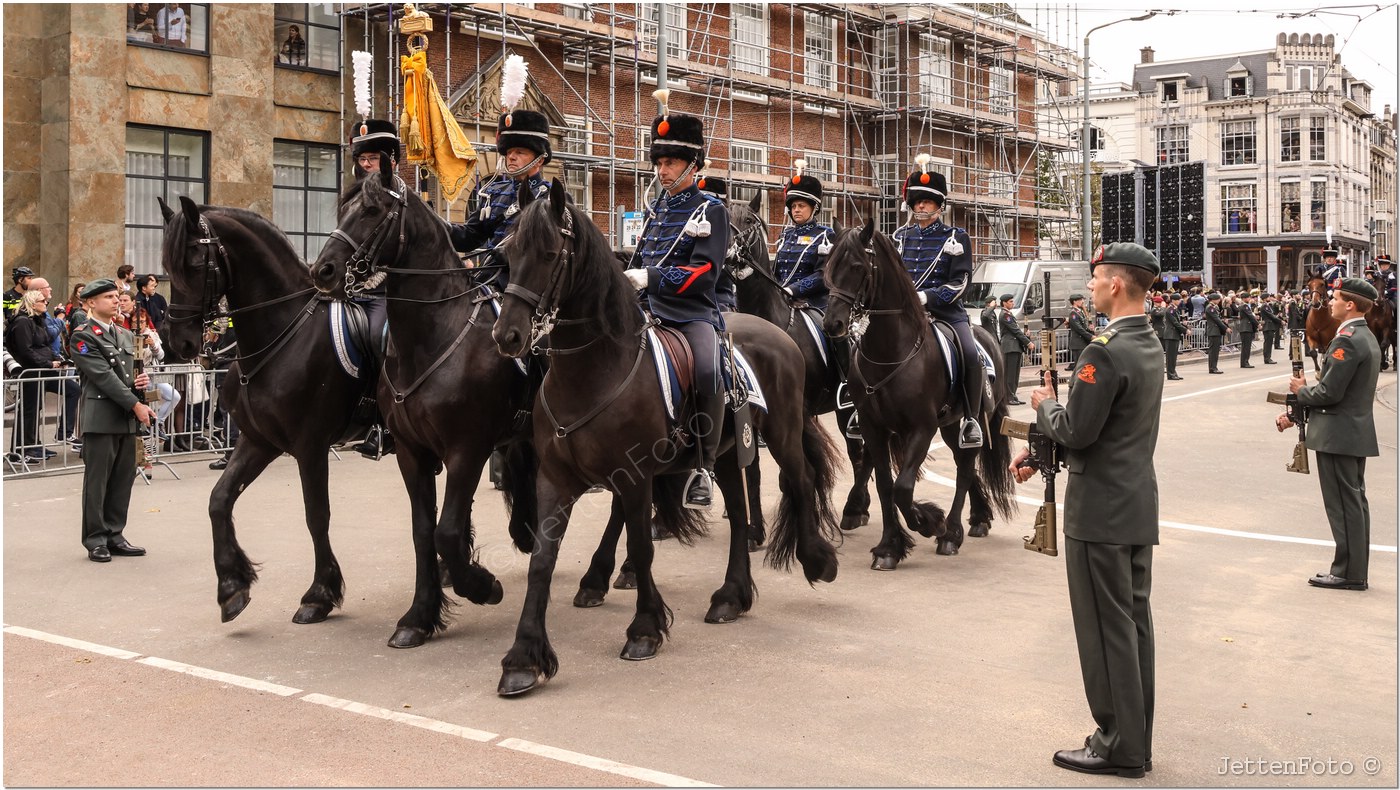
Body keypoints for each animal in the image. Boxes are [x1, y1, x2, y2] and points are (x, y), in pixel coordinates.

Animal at [160, 196, 366, 624]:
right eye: (166, 266)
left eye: (194, 262)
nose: (179, 342)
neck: (282, 333)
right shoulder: (258, 441)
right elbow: (219, 500)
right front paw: (231, 586)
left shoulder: (310, 445)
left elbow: (316, 515)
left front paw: (320, 593)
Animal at [313, 168, 540, 647]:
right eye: (342, 209)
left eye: (372, 210)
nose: (322, 270)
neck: (433, 337)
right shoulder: (411, 452)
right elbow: (424, 532)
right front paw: (420, 615)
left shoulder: (467, 450)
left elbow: (447, 531)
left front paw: (482, 585)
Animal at [492, 180, 840, 697]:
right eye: (509, 253)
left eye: (551, 254)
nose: (507, 336)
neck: (593, 370)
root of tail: (776, 333)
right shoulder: (555, 478)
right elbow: (542, 559)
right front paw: (523, 657)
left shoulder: (635, 477)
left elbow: (641, 545)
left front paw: (645, 628)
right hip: (725, 452)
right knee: (739, 513)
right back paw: (731, 596)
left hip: (781, 432)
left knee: (797, 481)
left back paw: (817, 560)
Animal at [728, 194, 868, 535]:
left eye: (749, 220)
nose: (729, 252)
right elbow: (753, 470)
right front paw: (755, 530)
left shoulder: (798, 411)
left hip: (846, 411)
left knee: (857, 452)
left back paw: (856, 510)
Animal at [817, 221, 1013, 568]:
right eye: (828, 266)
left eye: (857, 266)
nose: (833, 324)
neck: (891, 351)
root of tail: (987, 335)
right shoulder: (874, 428)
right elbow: (885, 486)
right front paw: (889, 547)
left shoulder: (922, 427)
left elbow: (903, 487)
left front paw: (928, 521)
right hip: (950, 424)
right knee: (962, 465)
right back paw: (977, 518)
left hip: (972, 419)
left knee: (965, 468)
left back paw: (951, 534)